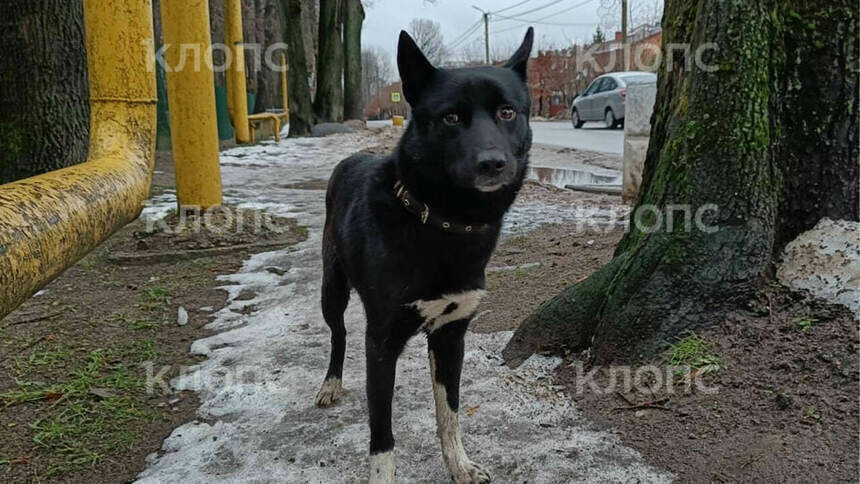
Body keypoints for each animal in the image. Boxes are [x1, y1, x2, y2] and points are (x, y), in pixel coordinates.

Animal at [316, 27, 532, 484]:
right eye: (450, 118)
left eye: (507, 112)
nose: (493, 164)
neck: (442, 223)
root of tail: (351, 157)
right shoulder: (381, 344)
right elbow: (382, 437)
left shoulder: (451, 335)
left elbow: (449, 414)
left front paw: (460, 465)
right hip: (332, 289)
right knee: (338, 334)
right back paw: (330, 383)